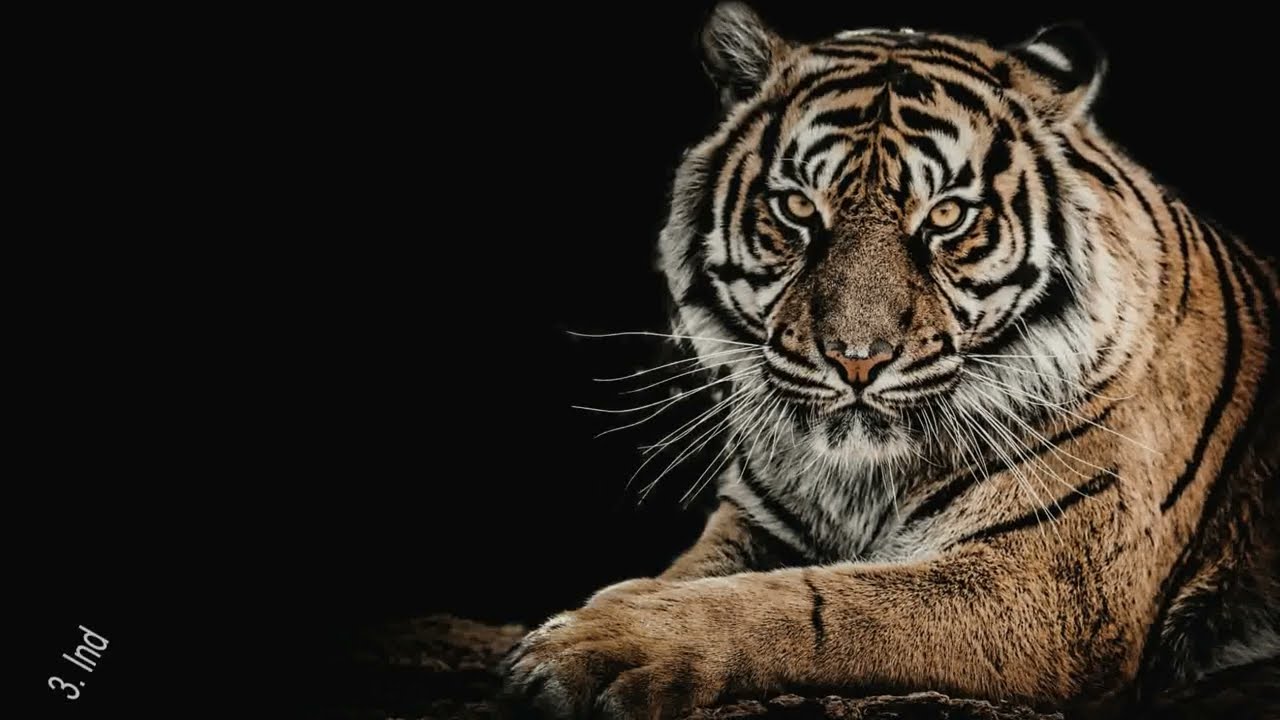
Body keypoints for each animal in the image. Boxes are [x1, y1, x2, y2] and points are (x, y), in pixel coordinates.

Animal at [502, 3, 1279, 717]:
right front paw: (603, 609)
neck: (859, 479)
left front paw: (595, 644)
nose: (856, 359)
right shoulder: (757, 521)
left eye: (946, 216)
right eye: (796, 209)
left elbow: (813, 604)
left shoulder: (1050, 585)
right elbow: (692, 573)